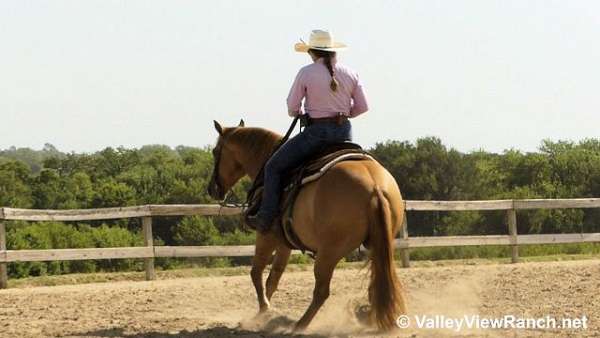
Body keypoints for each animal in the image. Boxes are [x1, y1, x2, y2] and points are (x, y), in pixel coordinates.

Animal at [206, 120, 408, 332]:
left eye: (215, 151)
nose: (211, 189)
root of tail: (375, 187)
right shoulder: (284, 242)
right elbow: (273, 278)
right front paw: (264, 312)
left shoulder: (266, 235)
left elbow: (256, 273)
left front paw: (263, 312)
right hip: (376, 246)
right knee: (377, 280)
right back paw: (368, 315)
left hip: (329, 253)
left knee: (321, 291)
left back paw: (299, 325)